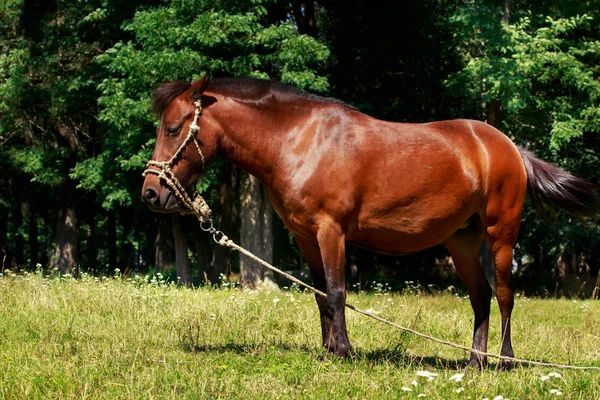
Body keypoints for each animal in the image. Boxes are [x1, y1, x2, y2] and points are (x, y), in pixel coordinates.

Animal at [142, 74, 600, 368]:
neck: (298, 140)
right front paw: (327, 351)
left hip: (500, 235)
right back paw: (474, 361)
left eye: (173, 128)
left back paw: (504, 361)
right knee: (481, 296)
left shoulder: (331, 231)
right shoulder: (306, 237)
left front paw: (344, 352)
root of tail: (508, 146)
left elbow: (338, 291)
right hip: (462, 242)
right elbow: (320, 296)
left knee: (504, 295)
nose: (150, 192)